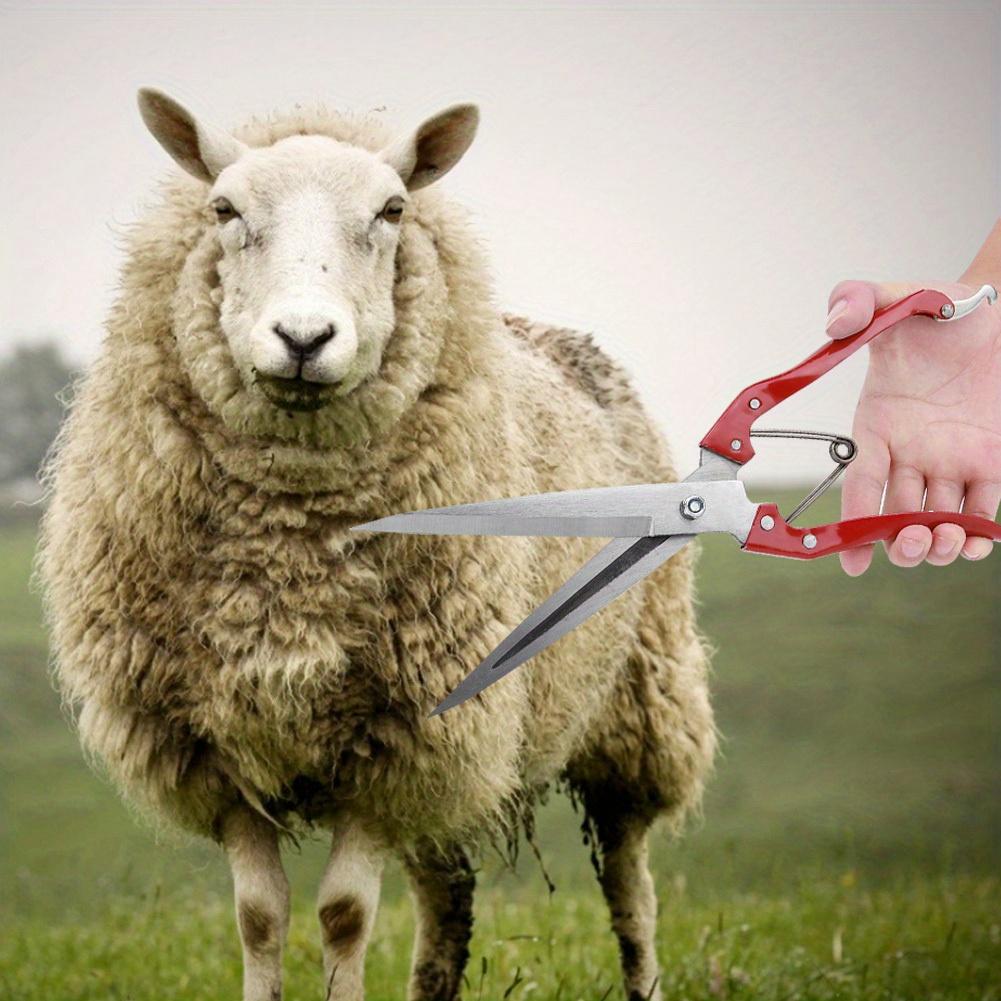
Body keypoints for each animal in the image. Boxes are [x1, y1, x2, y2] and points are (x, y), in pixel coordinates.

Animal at [38, 88, 716, 1001]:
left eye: (392, 210)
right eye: (224, 210)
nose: (303, 338)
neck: (289, 545)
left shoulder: (395, 734)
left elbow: (344, 914)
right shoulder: (215, 739)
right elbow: (259, 916)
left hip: (635, 701)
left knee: (627, 878)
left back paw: (643, 971)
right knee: (446, 890)